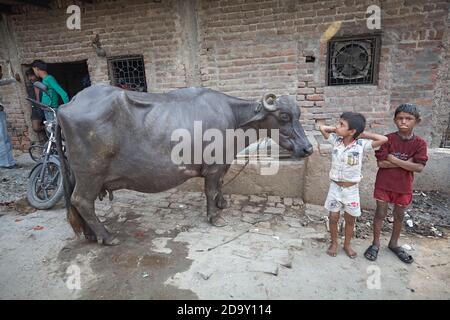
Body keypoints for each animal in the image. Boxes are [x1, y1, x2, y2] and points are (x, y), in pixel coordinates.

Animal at [57, 85, 312, 245]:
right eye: (284, 116)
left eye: (298, 114)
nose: (307, 148)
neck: (234, 119)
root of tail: (66, 106)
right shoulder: (213, 167)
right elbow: (211, 189)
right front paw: (215, 217)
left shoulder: (223, 164)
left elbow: (221, 185)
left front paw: (222, 204)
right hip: (90, 174)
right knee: (81, 200)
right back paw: (108, 236)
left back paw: (91, 235)